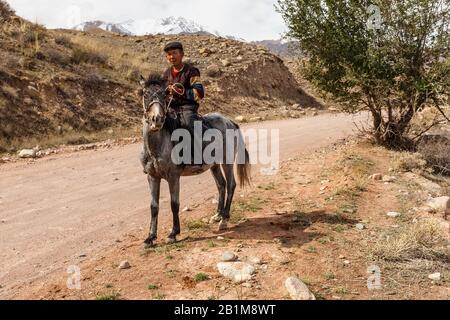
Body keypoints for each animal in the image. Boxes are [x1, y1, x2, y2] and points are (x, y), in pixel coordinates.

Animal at [138, 73, 250, 248]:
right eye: (145, 94)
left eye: (164, 95)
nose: (157, 119)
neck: (157, 145)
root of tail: (230, 121)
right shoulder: (152, 177)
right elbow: (154, 206)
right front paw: (150, 237)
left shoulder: (173, 177)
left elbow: (174, 204)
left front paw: (173, 233)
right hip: (214, 165)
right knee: (221, 185)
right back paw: (217, 215)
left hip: (227, 161)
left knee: (231, 185)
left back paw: (224, 220)